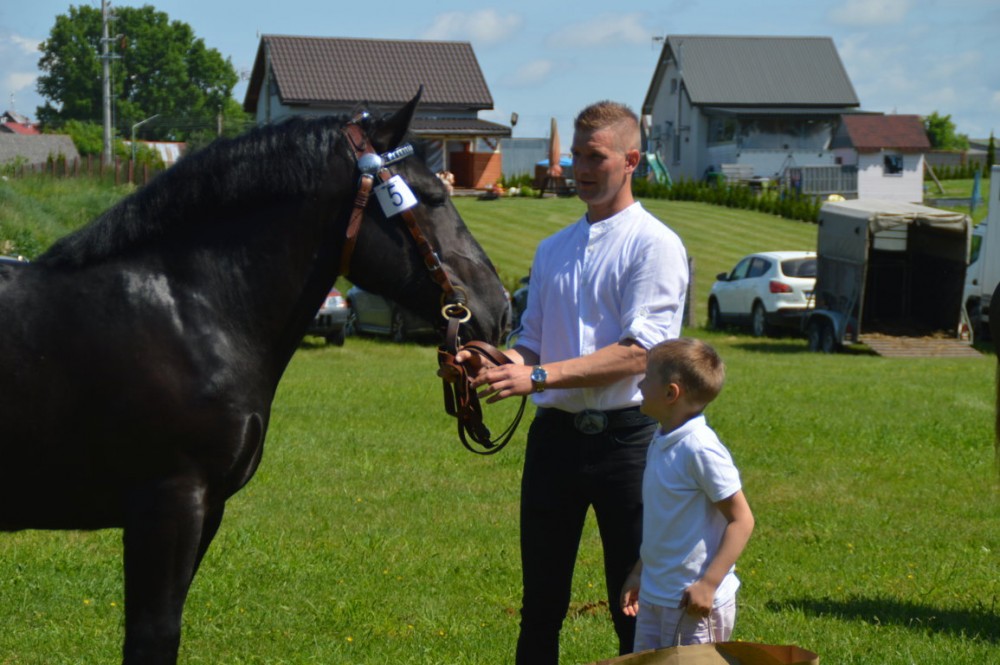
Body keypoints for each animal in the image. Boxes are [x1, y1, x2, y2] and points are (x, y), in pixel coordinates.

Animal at [0, 90, 510, 665]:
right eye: (434, 197)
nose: (500, 308)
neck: (189, 311)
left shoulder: (206, 510)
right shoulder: (168, 505)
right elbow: (153, 635)